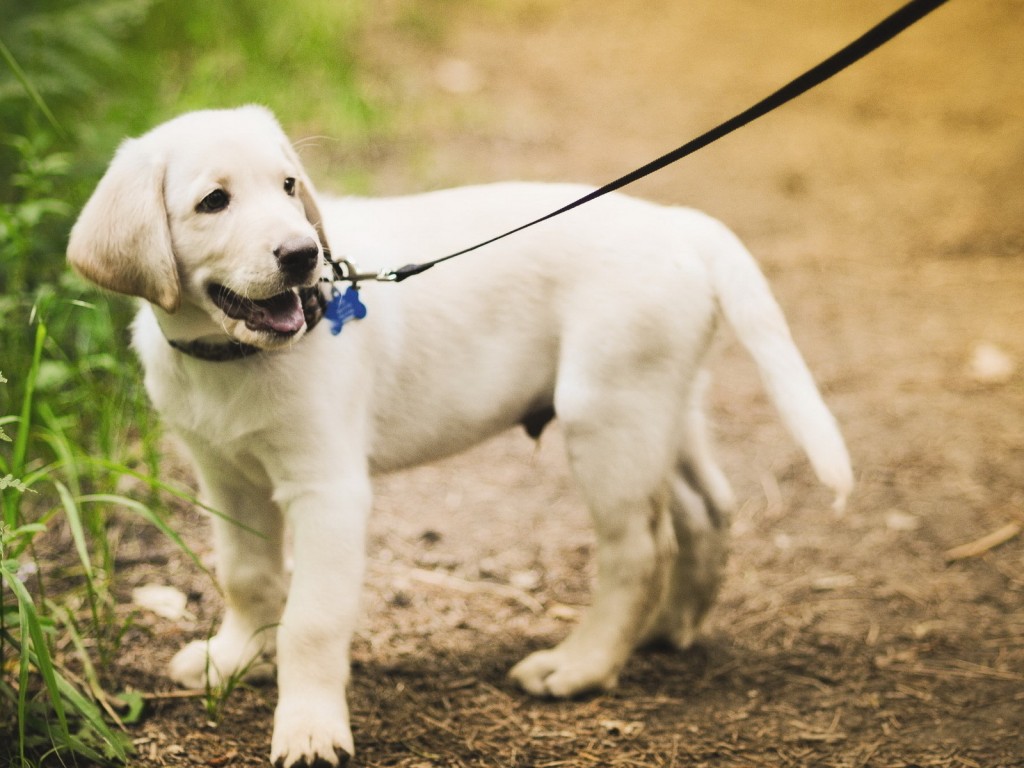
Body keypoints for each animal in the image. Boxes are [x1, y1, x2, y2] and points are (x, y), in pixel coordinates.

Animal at [66, 105, 856, 765]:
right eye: (214, 202)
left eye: (289, 186)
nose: (303, 255)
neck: (231, 359)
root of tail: (677, 223)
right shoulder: (224, 475)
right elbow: (247, 576)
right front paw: (233, 660)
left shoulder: (327, 489)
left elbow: (312, 619)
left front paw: (310, 729)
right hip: (663, 403)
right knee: (706, 508)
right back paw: (668, 627)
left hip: (608, 414)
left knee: (638, 548)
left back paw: (581, 665)